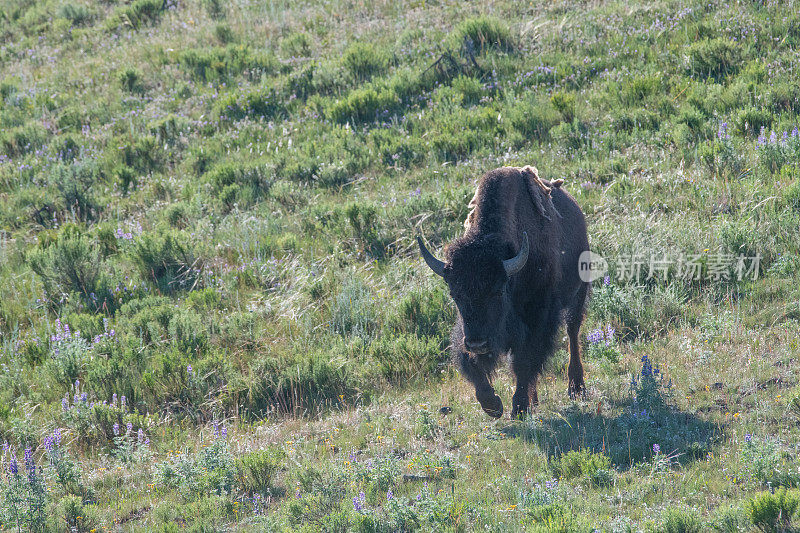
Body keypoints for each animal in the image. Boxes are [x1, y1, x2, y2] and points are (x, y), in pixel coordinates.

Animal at [418, 165, 588, 416]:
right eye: (455, 295)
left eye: (498, 291)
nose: (478, 344)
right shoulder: (467, 330)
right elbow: (470, 361)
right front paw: (493, 405)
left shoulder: (539, 319)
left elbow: (525, 361)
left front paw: (518, 407)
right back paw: (535, 400)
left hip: (579, 292)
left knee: (573, 332)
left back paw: (576, 388)